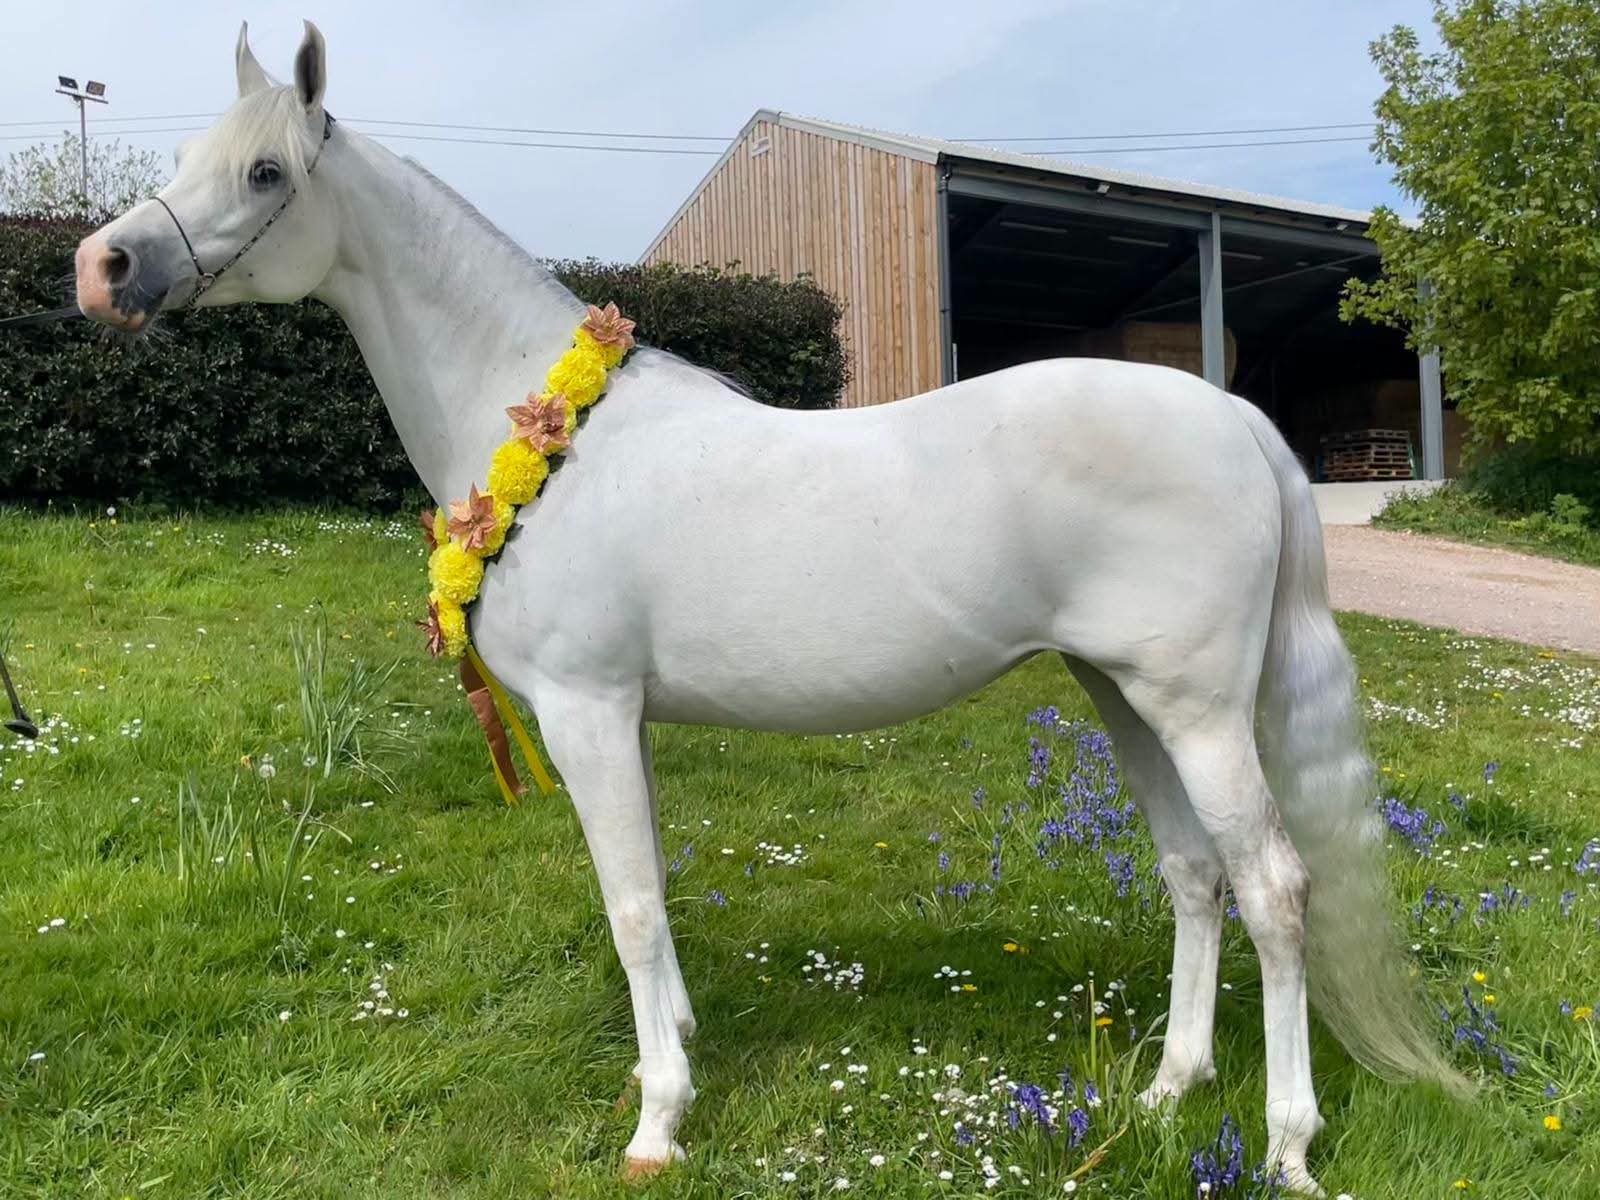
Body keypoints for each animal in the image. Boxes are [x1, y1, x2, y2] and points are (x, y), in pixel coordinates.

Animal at [73, 21, 1460, 1194]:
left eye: (262, 170)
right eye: (185, 156)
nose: (102, 266)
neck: (548, 436)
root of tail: (1236, 417)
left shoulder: (584, 710)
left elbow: (632, 906)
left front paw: (657, 1124)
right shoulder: (621, 719)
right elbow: (653, 897)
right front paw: (676, 1053)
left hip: (1197, 708)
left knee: (1273, 886)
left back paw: (1285, 1146)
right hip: (1122, 695)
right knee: (1192, 872)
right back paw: (1171, 1090)